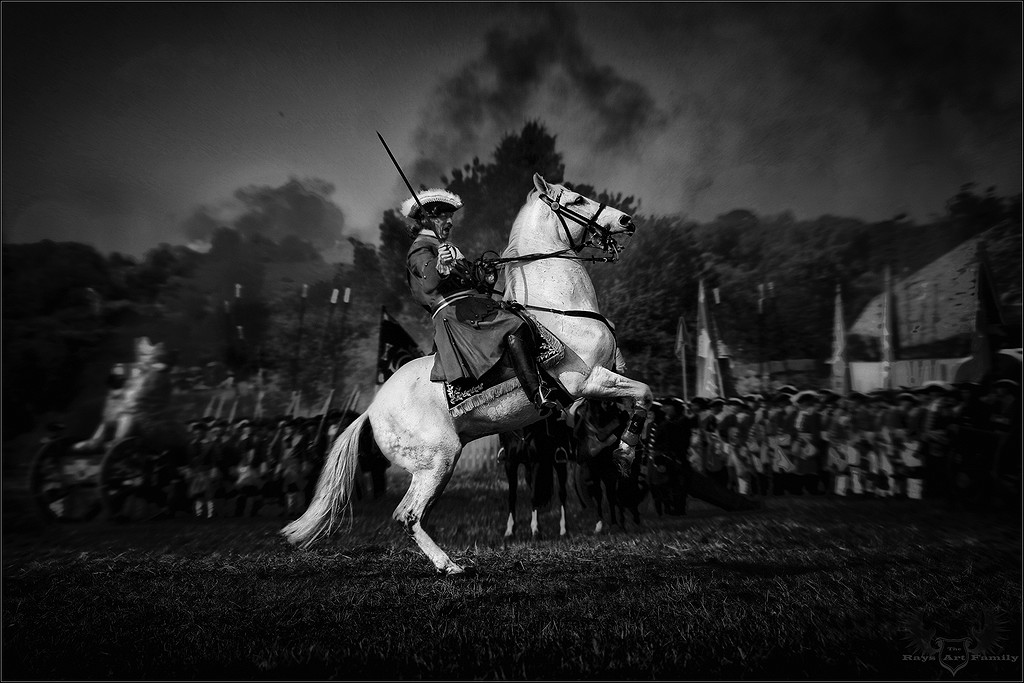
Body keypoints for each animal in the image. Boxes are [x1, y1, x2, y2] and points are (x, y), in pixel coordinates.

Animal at [497, 411, 573, 540]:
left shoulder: (536, 462)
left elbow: (534, 496)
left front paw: (535, 529)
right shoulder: (510, 463)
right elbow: (512, 496)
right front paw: (510, 530)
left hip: (559, 464)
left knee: (562, 493)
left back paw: (563, 530)